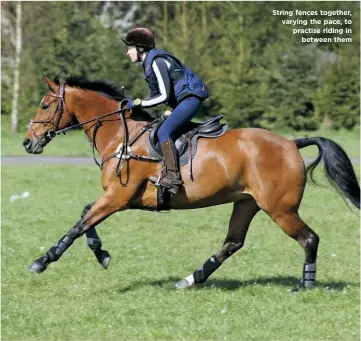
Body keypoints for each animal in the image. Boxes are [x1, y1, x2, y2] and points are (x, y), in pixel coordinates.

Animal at [23, 76, 358, 290]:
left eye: (44, 106)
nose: (27, 142)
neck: (120, 135)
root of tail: (291, 143)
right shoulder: (118, 198)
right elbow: (85, 216)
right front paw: (102, 254)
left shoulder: (118, 197)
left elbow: (78, 225)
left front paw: (42, 261)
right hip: (247, 203)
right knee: (232, 242)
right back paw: (190, 279)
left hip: (280, 209)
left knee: (309, 239)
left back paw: (305, 285)